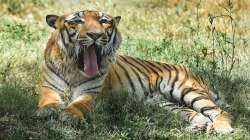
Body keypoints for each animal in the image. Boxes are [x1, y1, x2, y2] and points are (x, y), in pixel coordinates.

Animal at [36, 10, 233, 133]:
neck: (73, 69)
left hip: (187, 90)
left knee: (220, 112)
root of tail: (192, 71)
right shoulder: (49, 87)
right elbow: (48, 100)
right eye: (77, 21)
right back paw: (198, 127)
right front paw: (47, 110)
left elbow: (78, 104)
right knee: (197, 114)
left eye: (104, 21)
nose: (95, 35)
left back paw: (222, 128)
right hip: (165, 103)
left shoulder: (91, 92)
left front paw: (69, 116)